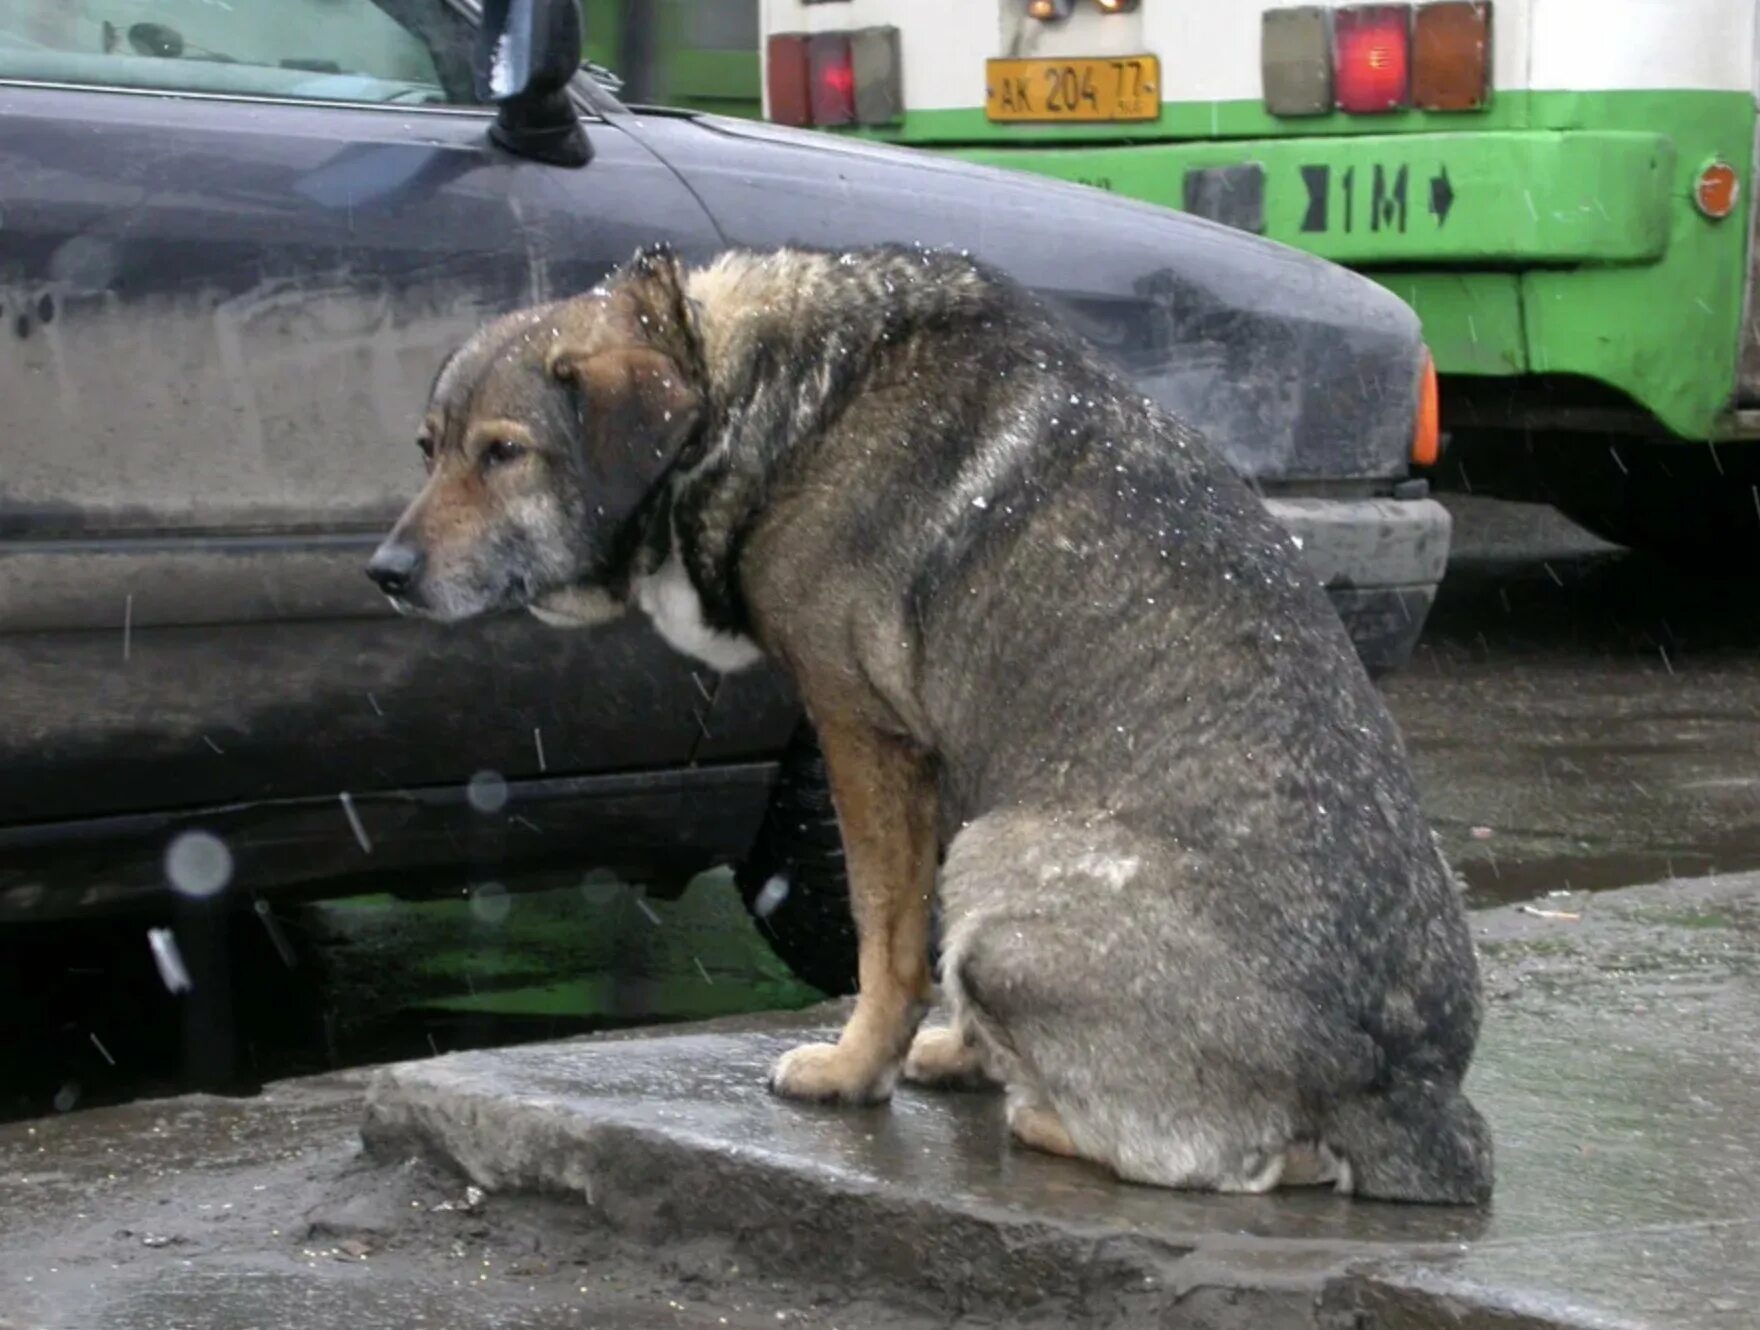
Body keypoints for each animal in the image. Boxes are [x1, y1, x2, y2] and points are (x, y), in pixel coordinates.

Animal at [367, 241, 1485, 1203]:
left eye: (503, 454)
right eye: (427, 450)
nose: (385, 574)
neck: (758, 392)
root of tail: (1411, 1090)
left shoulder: (861, 733)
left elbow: (889, 936)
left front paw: (857, 1066)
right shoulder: (942, 757)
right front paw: (958, 1051)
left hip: (998, 866)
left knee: (1227, 1163)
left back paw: (1044, 1114)